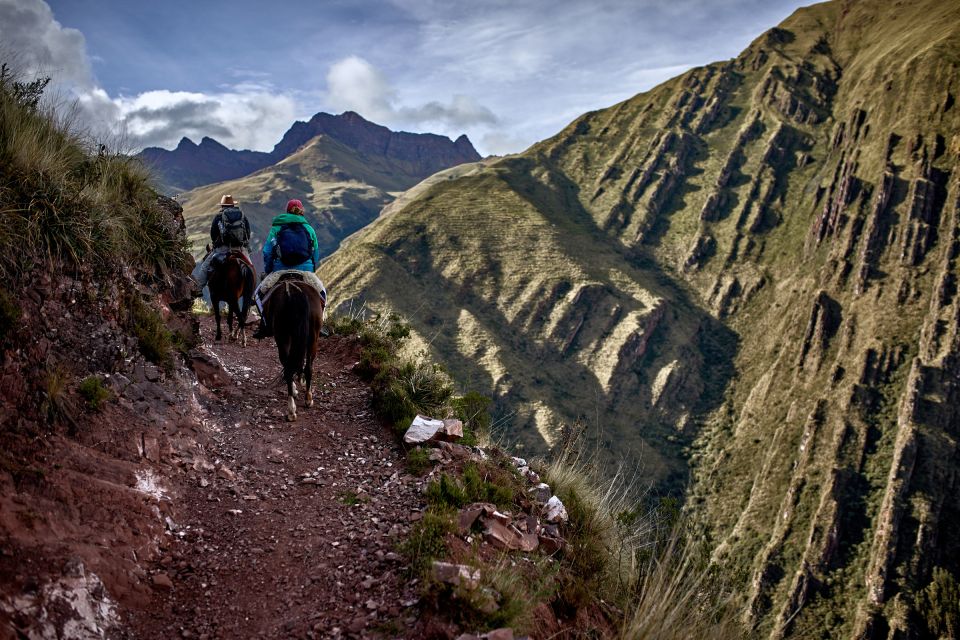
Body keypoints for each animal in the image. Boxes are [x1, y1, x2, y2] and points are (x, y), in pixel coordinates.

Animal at [262, 274, 326, 420]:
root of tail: (294, 292)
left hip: (283, 338)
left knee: (288, 368)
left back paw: (291, 409)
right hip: (312, 337)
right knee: (308, 367)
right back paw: (307, 399)